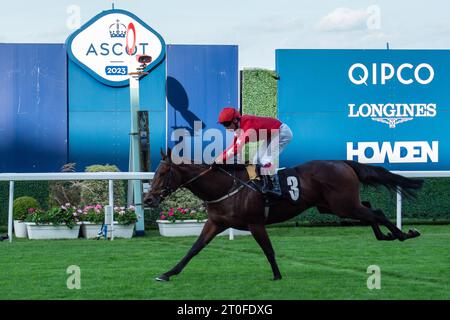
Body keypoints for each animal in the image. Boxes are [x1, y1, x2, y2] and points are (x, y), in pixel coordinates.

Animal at [143, 149, 422, 282]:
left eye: (163, 173)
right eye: (155, 172)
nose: (147, 200)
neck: (226, 186)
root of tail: (343, 162)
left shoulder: (255, 223)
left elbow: (268, 250)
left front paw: (277, 275)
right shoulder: (216, 222)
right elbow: (194, 249)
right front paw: (168, 273)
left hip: (343, 205)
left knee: (376, 212)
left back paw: (403, 233)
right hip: (334, 205)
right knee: (370, 210)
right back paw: (388, 236)